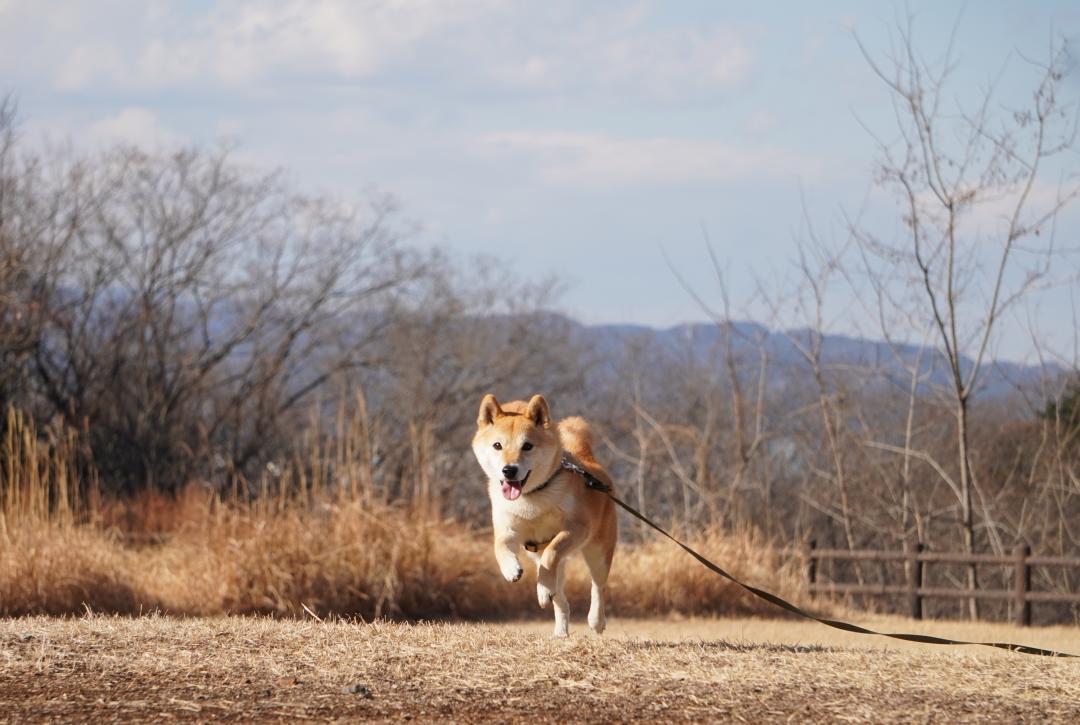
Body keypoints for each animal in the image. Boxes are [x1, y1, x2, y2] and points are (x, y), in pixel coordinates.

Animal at [470, 393, 617, 639]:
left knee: (597, 586)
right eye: (497, 445)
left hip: (597, 550)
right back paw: (559, 629)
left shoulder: (577, 528)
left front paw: (541, 587)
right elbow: (499, 546)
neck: (532, 497)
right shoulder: (507, 528)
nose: (509, 470)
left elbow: (552, 551)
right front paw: (511, 569)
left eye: (527, 446)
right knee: (560, 600)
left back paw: (595, 620)